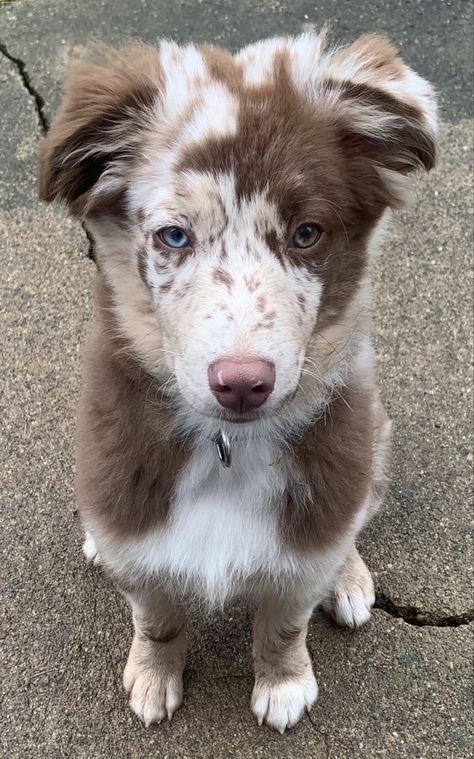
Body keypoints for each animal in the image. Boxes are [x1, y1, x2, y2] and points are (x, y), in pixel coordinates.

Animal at [39, 31, 436, 736]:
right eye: (173, 236)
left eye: (306, 234)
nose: (243, 384)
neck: (228, 449)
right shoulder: (137, 531)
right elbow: (157, 620)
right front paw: (153, 680)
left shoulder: (310, 530)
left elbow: (284, 622)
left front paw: (284, 687)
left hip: (374, 434)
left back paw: (350, 580)